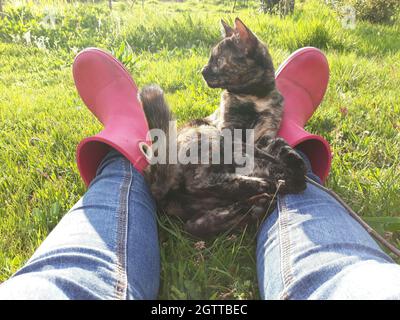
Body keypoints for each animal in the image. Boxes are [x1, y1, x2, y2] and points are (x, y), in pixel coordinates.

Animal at [139, 17, 304, 238]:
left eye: (218, 60)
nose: (202, 70)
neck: (255, 97)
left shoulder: (266, 134)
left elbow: (279, 146)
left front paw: (295, 165)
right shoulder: (230, 132)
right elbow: (256, 156)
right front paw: (278, 169)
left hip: (205, 215)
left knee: (200, 222)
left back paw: (261, 197)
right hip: (208, 136)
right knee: (199, 181)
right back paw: (262, 184)